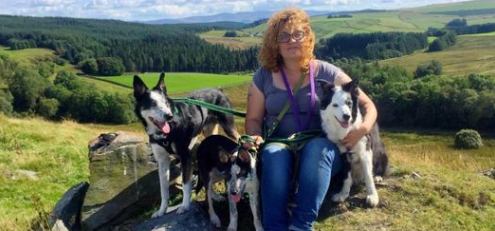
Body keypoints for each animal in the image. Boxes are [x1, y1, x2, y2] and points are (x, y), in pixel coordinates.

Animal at [132, 73, 240, 217]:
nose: (169, 116)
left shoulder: (185, 156)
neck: (165, 133)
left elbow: (185, 184)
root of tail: (218, 90)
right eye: (152, 104)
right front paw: (161, 210)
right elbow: (163, 189)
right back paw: (215, 195)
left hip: (229, 127)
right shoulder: (162, 160)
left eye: (166, 103)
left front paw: (185, 206)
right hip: (209, 133)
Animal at [318, 78, 392, 207]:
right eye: (335, 105)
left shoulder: (365, 151)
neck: (346, 130)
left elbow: (368, 176)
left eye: (349, 103)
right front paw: (343, 194)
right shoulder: (343, 154)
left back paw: (378, 176)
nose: (347, 116)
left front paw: (372, 196)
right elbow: (346, 177)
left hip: (383, 154)